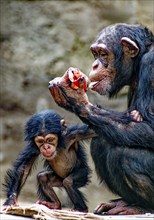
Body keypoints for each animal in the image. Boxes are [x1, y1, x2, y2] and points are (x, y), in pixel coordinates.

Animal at [49, 24, 154, 215]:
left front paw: (75, 98)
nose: (95, 64)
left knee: (125, 155)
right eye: (95, 53)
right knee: (102, 141)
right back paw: (123, 203)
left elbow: (150, 127)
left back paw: (141, 207)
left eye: (103, 54)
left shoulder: (151, 65)